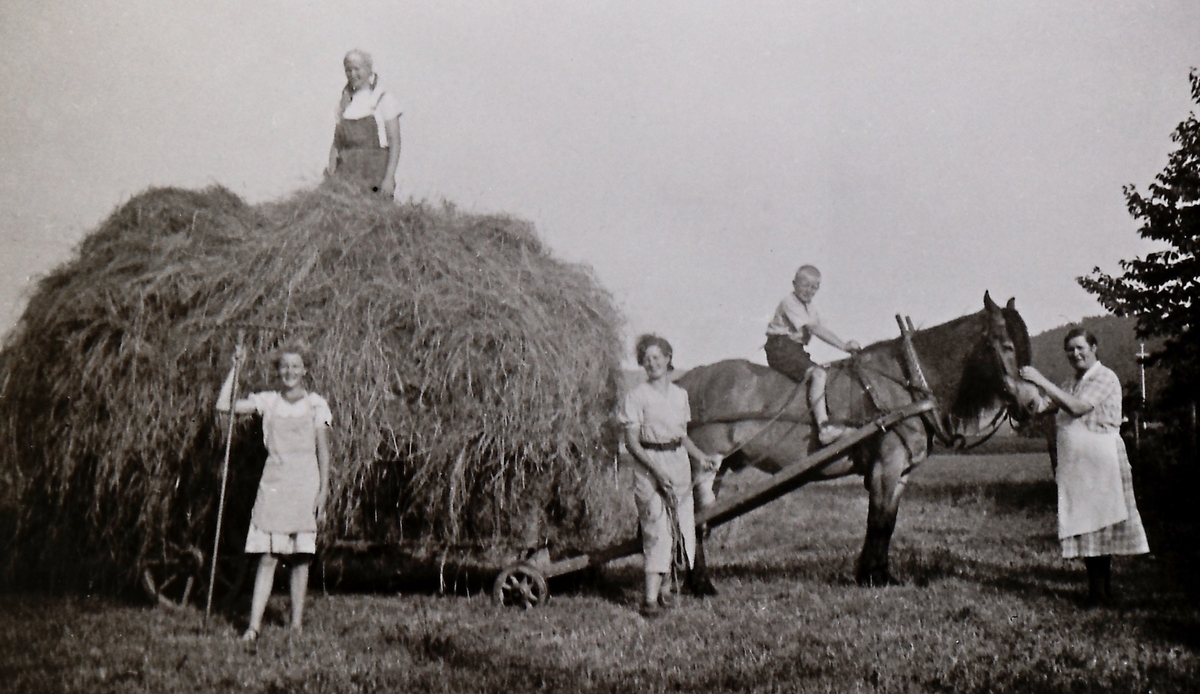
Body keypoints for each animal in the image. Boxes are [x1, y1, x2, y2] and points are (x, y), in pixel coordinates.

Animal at [676, 289, 1041, 585]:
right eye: (1007, 345)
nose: (1033, 403)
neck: (908, 381)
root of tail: (686, 381)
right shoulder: (886, 465)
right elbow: (877, 521)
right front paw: (872, 577)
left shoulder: (901, 471)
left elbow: (887, 522)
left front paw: (878, 573)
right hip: (704, 466)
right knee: (693, 519)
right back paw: (702, 584)